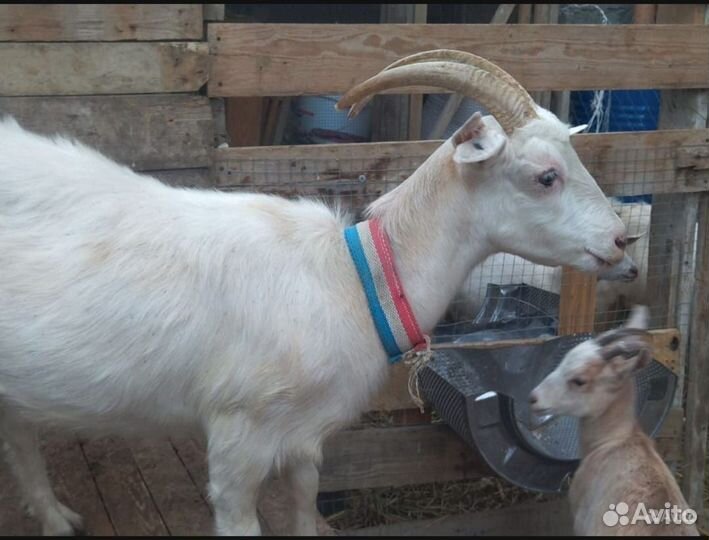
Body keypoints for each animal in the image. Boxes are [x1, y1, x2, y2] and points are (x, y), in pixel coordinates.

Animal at [0, 50, 627, 536]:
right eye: (546, 175)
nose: (622, 238)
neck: (350, 278)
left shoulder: (304, 440)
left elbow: (304, 504)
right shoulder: (237, 439)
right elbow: (240, 517)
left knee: (20, 433)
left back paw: (56, 517)